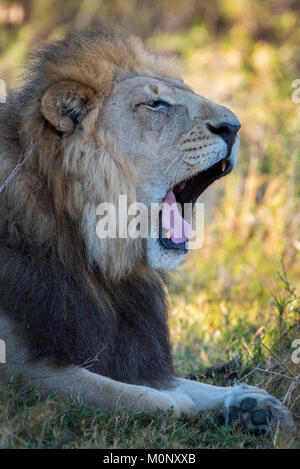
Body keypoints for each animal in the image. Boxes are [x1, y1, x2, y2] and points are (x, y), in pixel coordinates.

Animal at [0, 29, 296, 432]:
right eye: (155, 104)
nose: (234, 127)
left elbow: (180, 383)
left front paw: (250, 403)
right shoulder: (19, 367)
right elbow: (130, 394)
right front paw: (184, 406)